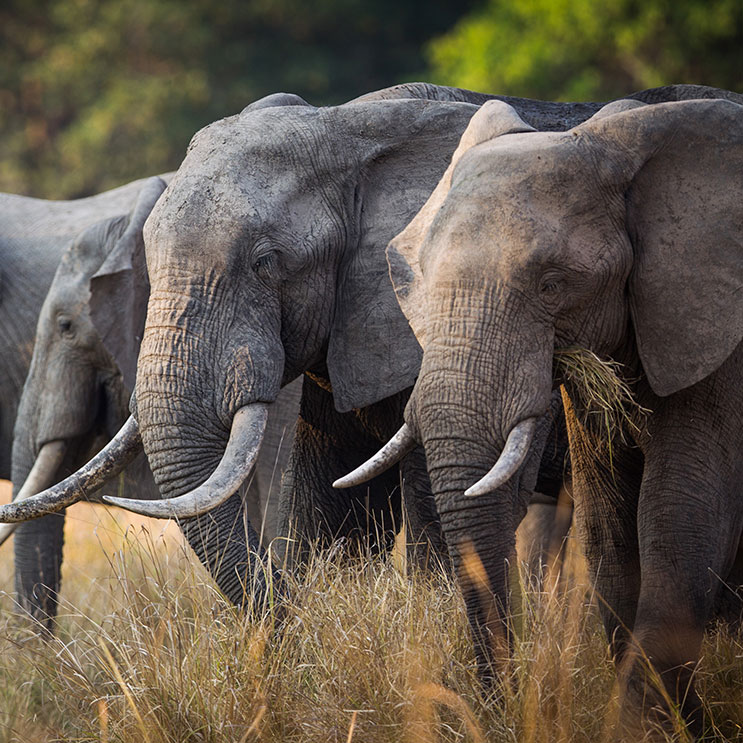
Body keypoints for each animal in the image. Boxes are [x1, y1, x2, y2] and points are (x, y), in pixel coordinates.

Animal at [346, 91, 743, 740]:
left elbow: (680, 511)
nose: (493, 709)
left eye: (554, 284)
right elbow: (609, 524)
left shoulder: (720, 337)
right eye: (416, 280)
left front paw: (640, 728)